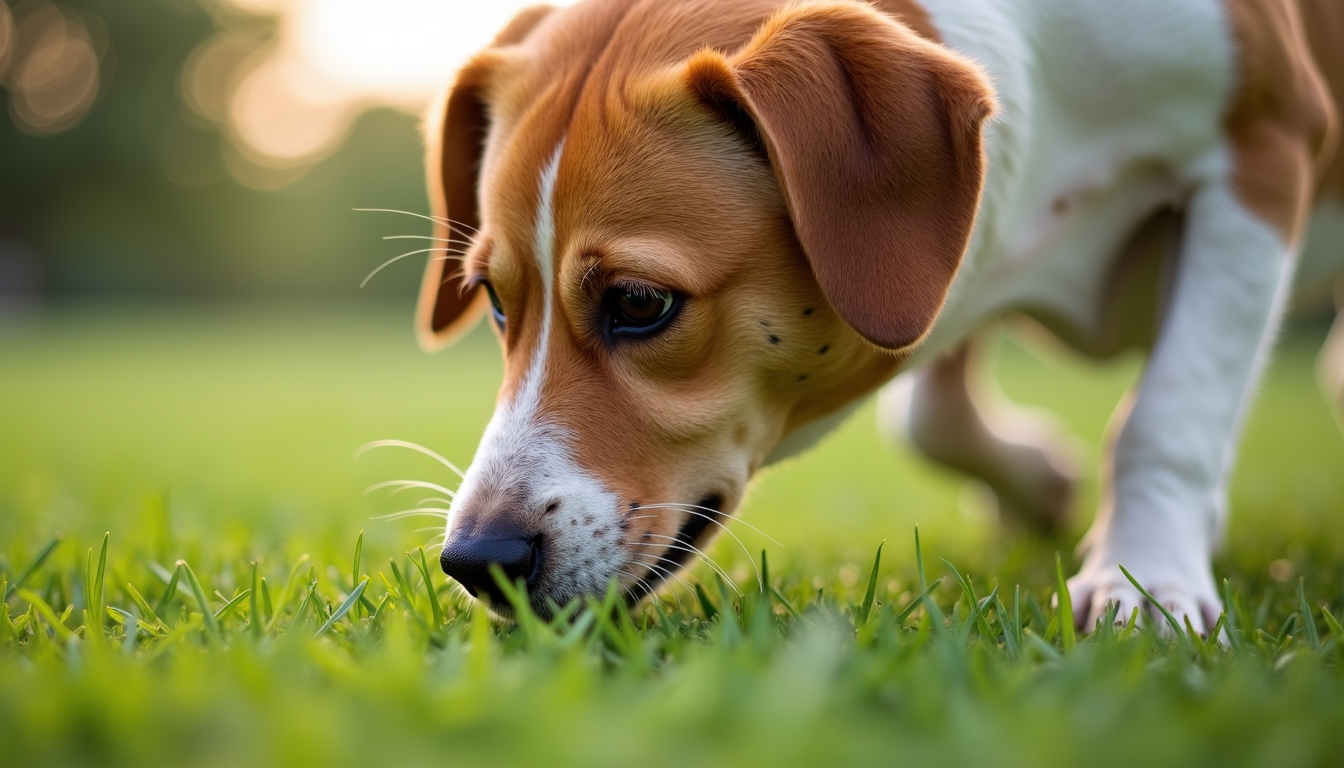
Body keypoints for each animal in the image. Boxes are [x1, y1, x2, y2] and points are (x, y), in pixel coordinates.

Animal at [413, 0, 1338, 632]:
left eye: (640, 302)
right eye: (495, 300)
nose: (477, 561)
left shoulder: (1261, 150)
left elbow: (1171, 413)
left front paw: (1143, 582)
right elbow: (930, 418)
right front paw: (1041, 480)